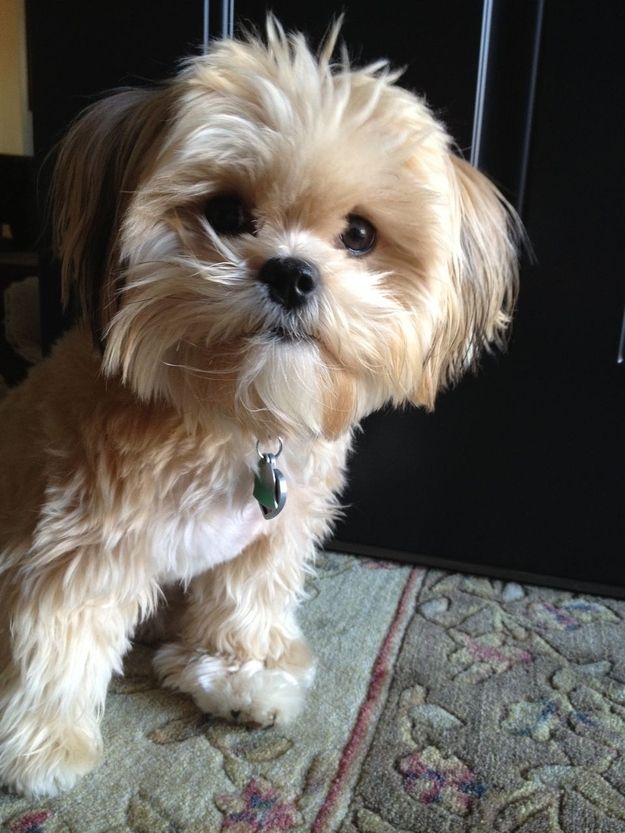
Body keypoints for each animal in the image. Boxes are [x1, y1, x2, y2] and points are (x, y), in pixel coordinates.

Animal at [0, 19, 516, 796]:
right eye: (226, 213)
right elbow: (61, 634)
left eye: (359, 235)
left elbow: (244, 605)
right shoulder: (83, 538)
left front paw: (242, 673)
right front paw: (42, 745)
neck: (233, 418)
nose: (292, 273)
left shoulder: (266, 543)